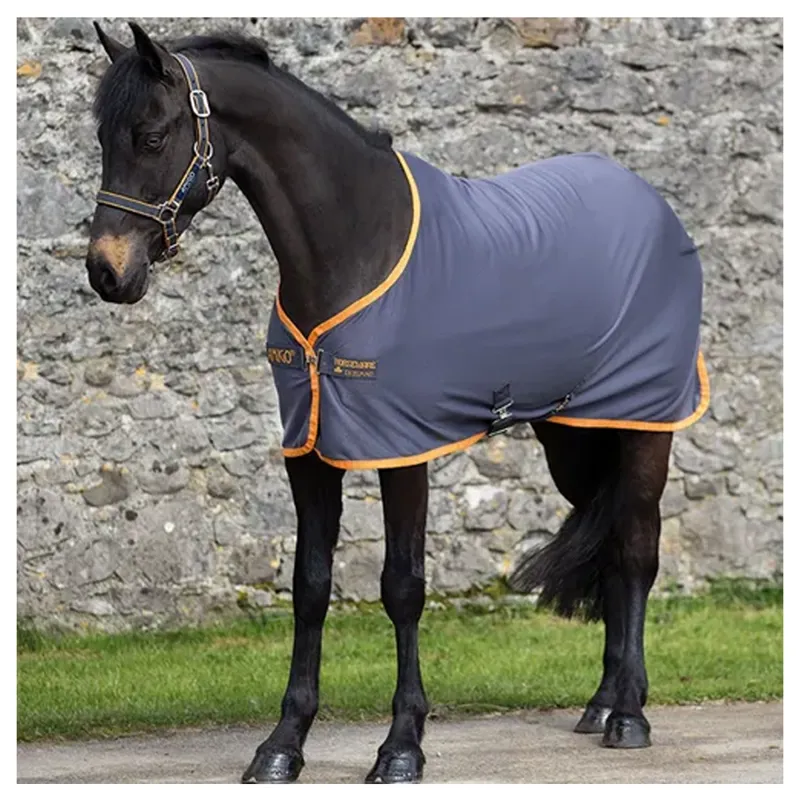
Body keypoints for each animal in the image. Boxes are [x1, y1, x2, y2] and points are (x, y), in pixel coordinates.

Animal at [85, 23, 709, 783]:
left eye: (151, 136)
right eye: (102, 138)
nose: (107, 272)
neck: (357, 248)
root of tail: (651, 205)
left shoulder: (403, 449)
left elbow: (403, 587)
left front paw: (402, 746)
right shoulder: (310, 452)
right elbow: (311, 586)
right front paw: (282, 744)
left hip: (646, 425)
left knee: (637, 551)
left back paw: (630, 717)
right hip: (576, 433)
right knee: (613, 539)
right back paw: (601, 703)